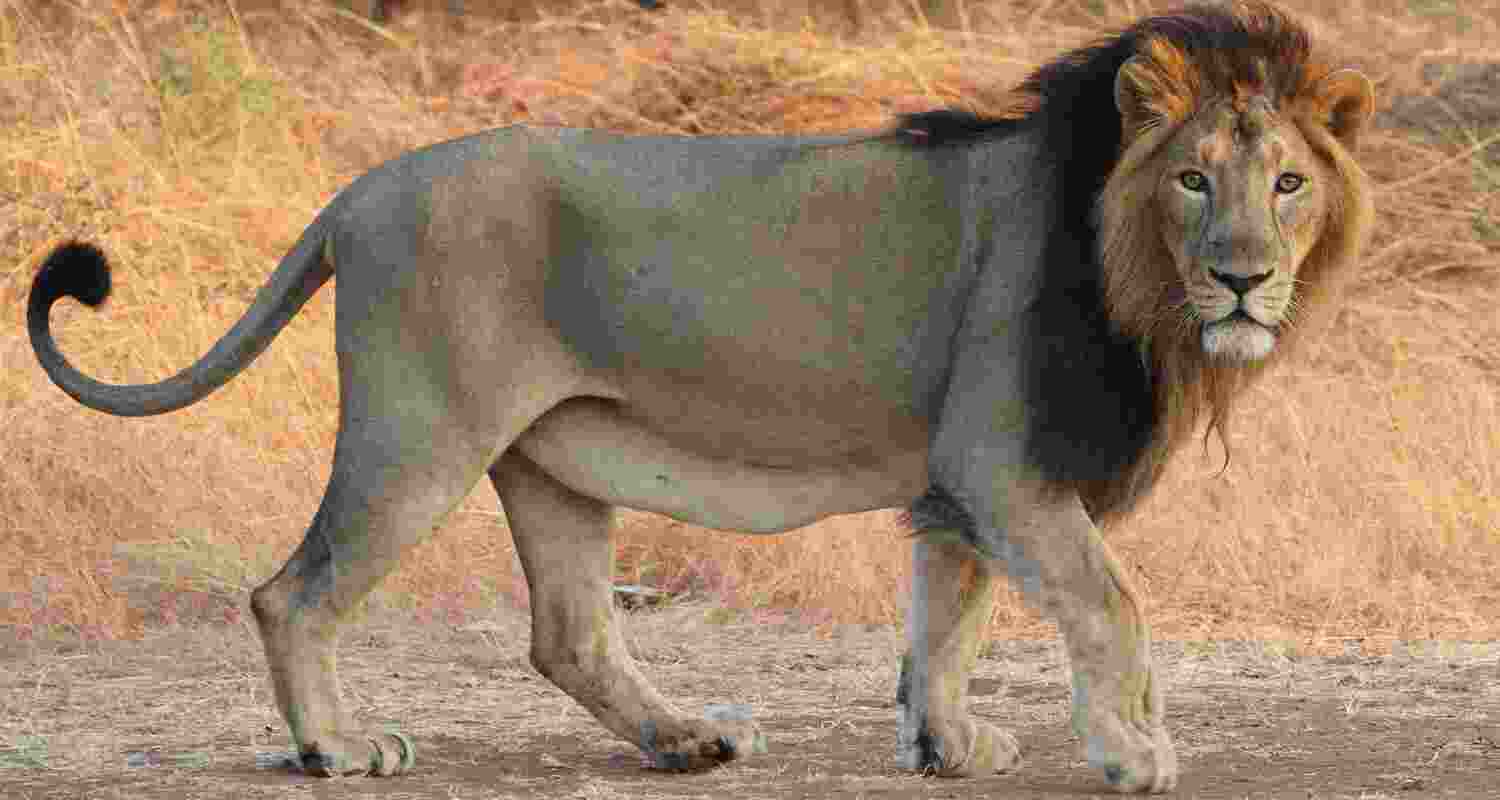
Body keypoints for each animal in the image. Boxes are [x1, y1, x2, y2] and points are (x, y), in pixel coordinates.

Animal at [28, 1, 1373, 792]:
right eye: (1195, 180)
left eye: (1289, 182)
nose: (1244, 278)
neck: (1132, 271)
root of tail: (357, 190)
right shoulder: (1008, 460)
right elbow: (1111, 605)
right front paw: (1135, 749)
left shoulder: (966, 478)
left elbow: (950, 613)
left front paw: (947, 743)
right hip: (420, 430)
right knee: (292, 590)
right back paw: (338, 747)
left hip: (552, 455)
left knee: (567, 630)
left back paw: (686, 738)